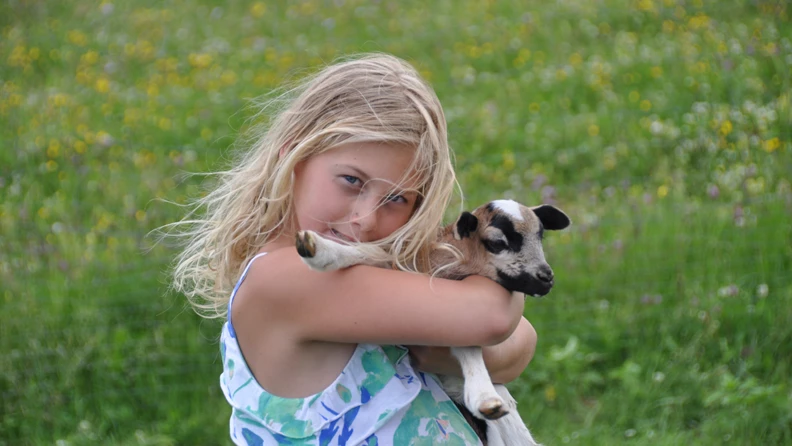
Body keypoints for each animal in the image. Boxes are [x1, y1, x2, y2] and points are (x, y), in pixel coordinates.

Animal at [296, 199, 568, 446]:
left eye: (540, 236)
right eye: (497, 243)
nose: (546, 278)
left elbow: (469, 348)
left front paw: (485, 399)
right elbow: (375, 253)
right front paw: (316, 249)